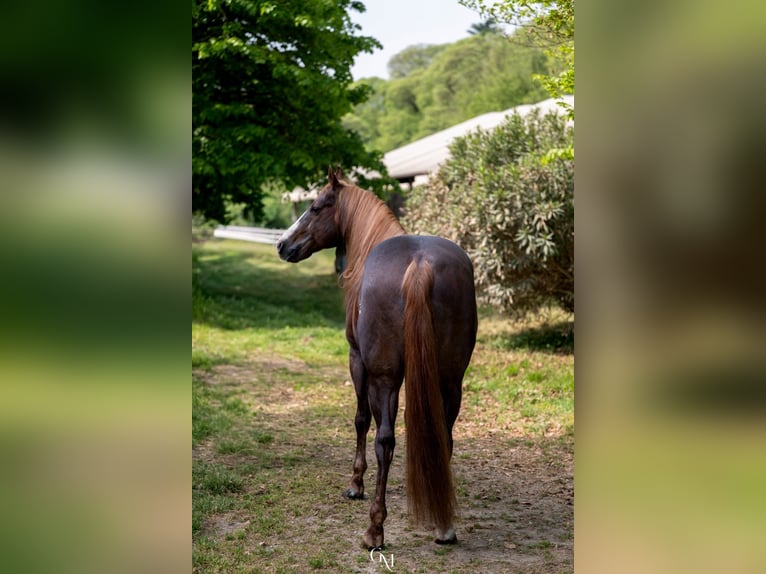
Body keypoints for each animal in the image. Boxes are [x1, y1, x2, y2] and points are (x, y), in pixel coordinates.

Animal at [277, 167, 477, 549]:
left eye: (315, 207)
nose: (282, 244)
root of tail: (420, 265)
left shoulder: (359, 362)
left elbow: (361, 420)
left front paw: (356, 485)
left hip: (384, 378)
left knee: (384, 441)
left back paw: (375, 529)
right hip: (450, 381)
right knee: (444, 435)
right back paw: (443, 525)